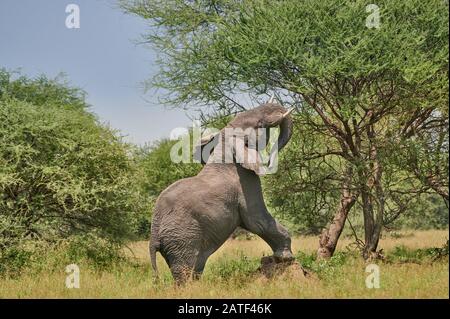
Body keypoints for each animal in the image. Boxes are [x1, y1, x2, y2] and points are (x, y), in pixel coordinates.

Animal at [149, 101, 294, 284]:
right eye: (260, 124)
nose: (270, 159)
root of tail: (153, 234)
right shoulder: (245, 182)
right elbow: (257, 221)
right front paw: (286, 258)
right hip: (181, 237)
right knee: (185, 271)